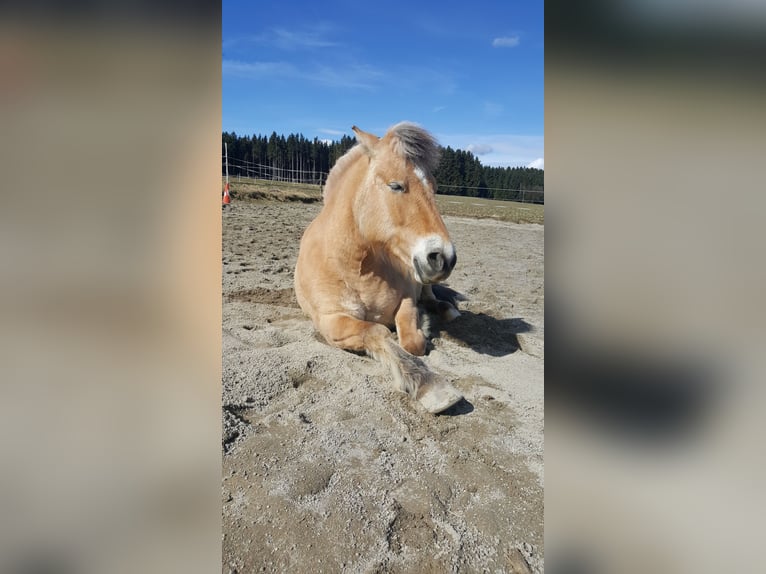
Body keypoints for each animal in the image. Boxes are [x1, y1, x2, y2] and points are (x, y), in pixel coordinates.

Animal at [292, 121, 462, 414]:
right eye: (396, 185)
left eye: (434, 186)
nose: (443, 257)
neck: (356, 266)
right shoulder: (331, 321)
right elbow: (379, 333)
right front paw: (430, 385)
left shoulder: (406, 299)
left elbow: (412, 340)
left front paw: (424, 329)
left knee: (431, 296)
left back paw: (446, 310)